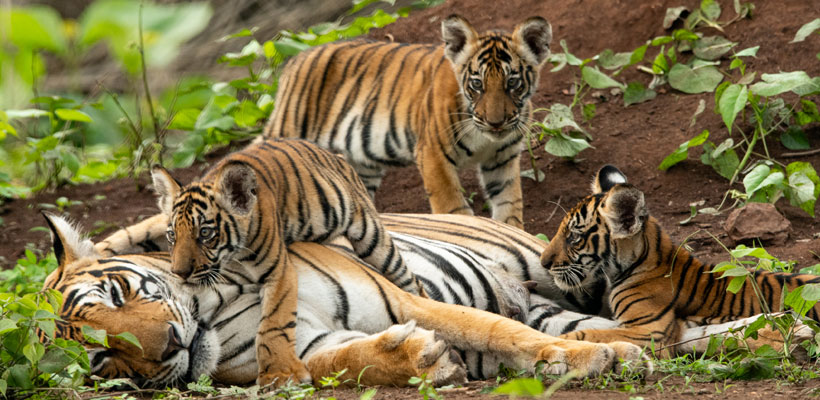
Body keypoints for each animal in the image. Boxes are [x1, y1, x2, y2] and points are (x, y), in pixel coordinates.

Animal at [42, 213, 648, 388]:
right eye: (102, 359)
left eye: (118, 292)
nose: (169, 344)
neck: (212, 310)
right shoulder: (301, 352)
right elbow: (347, 362)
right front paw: (421, 359)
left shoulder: (407, 300)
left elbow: (498, 330)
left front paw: (584, 361)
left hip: (547, 266)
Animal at [147, 138, 425, 386]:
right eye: (172, 235)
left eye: (205, 233)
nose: (179, 272)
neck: (232, 259)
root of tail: (334, 156)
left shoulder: (278, 271)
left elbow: (273, 323)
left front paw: (279, 374)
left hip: (372, 237)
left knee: (411, 282)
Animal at [261, 14, 553, 229]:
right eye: (477, 84)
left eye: (512, 83)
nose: (495, 123)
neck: (485, 136)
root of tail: (293, 60)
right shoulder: (433, 155)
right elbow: (452, 206)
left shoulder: (502, 159)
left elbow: (509, 203)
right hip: (289, 132)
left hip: (363, 164)